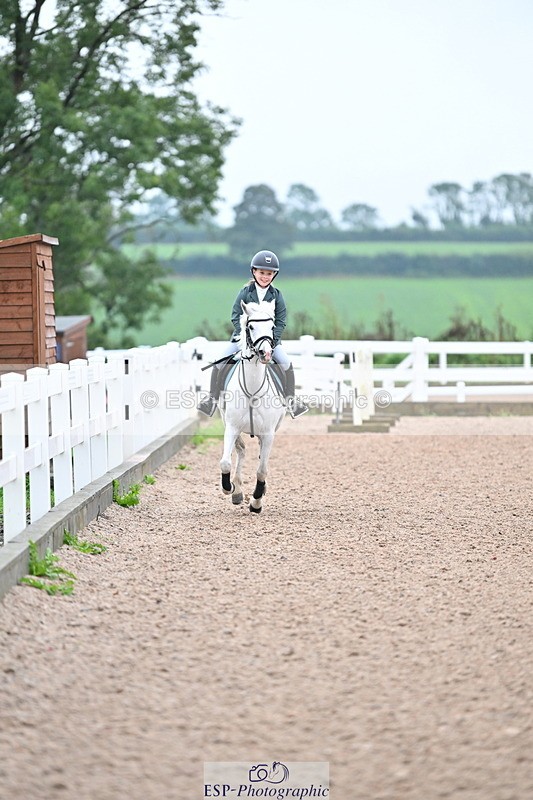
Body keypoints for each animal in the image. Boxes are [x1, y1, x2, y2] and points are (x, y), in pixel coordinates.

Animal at [219, 299, 286, 513]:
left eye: (272, 326)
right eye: (251, 327)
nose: (265, 353)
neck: (252, 391)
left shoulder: (269, 433)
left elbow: (262, 470)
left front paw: (256, 501)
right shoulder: (231, 427)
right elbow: (225, 462)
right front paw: (229, 488)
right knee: (241, 451)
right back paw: (237, 491)